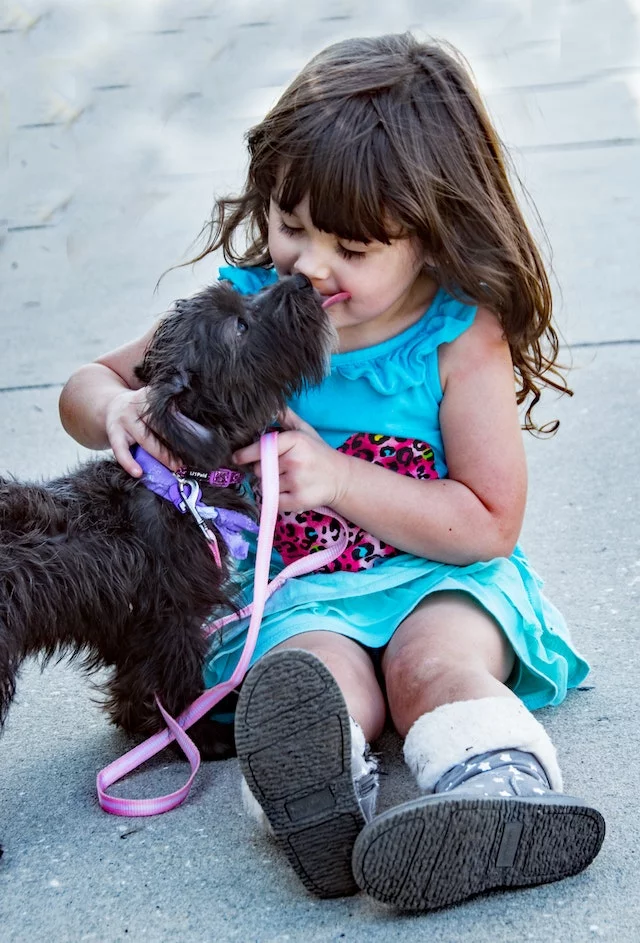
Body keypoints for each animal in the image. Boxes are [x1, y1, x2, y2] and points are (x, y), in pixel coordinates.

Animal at [0, 272, 330, 760]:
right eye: (240, 327)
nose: (304, 280)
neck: (178, 479)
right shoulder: (172, 617)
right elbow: (173, 678)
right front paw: (195, 734)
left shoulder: (135, 627)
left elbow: (136, 680)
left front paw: (143, 725)